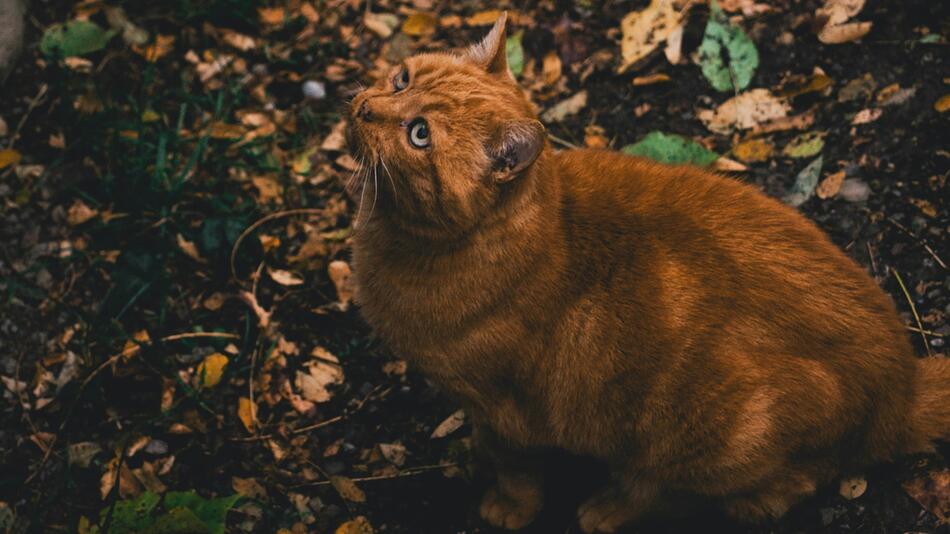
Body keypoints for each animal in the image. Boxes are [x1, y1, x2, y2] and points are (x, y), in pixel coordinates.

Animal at [346, 13, 950, 534]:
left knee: (723, 492)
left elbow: (516, 472)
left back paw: (610, 510)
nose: (365, 108)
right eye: (401, 78)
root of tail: (901, 383)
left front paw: (505, 508)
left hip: (704, 436)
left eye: (419, 134)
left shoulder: (503, 411)